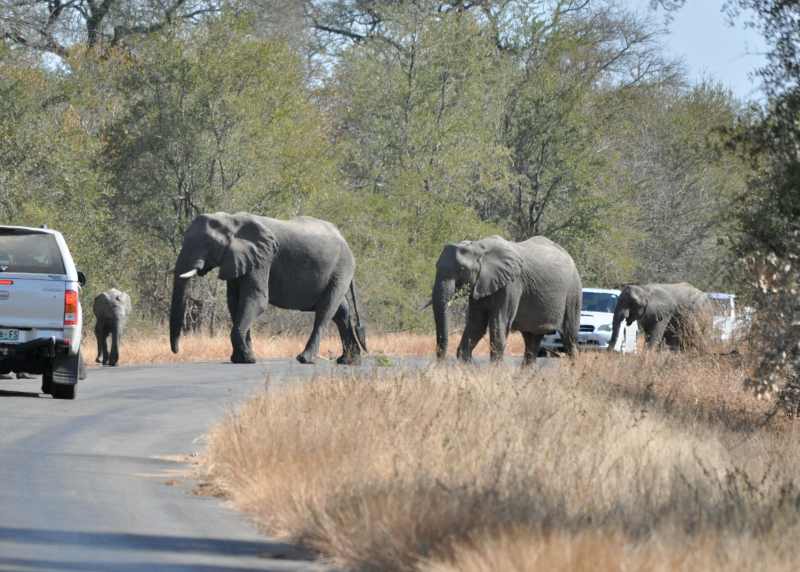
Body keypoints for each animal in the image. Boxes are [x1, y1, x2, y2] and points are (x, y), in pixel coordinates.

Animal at [169, 212, 367, 365]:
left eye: (208, 244)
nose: (177, 350)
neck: (231, 220)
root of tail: (344, 239)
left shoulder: (263, 258)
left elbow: (256, 300)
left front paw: (248, 359)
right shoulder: (239, 259)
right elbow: (235, 303)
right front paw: (241, 359)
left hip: (342, 268)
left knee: (326, 310)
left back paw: (304, 359)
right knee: (341, 311)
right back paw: (349, 361)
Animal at [430, 235, 582, 365]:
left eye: (462, 269)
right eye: (436, 266)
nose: (440, 364)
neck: (479, 247)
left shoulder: (512, 284)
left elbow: (499, 323)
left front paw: (495, 372)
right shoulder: (480, 284)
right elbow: (476, 325)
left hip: (573, 291)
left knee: (569, 337)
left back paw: (572, 370)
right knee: (532, 341)